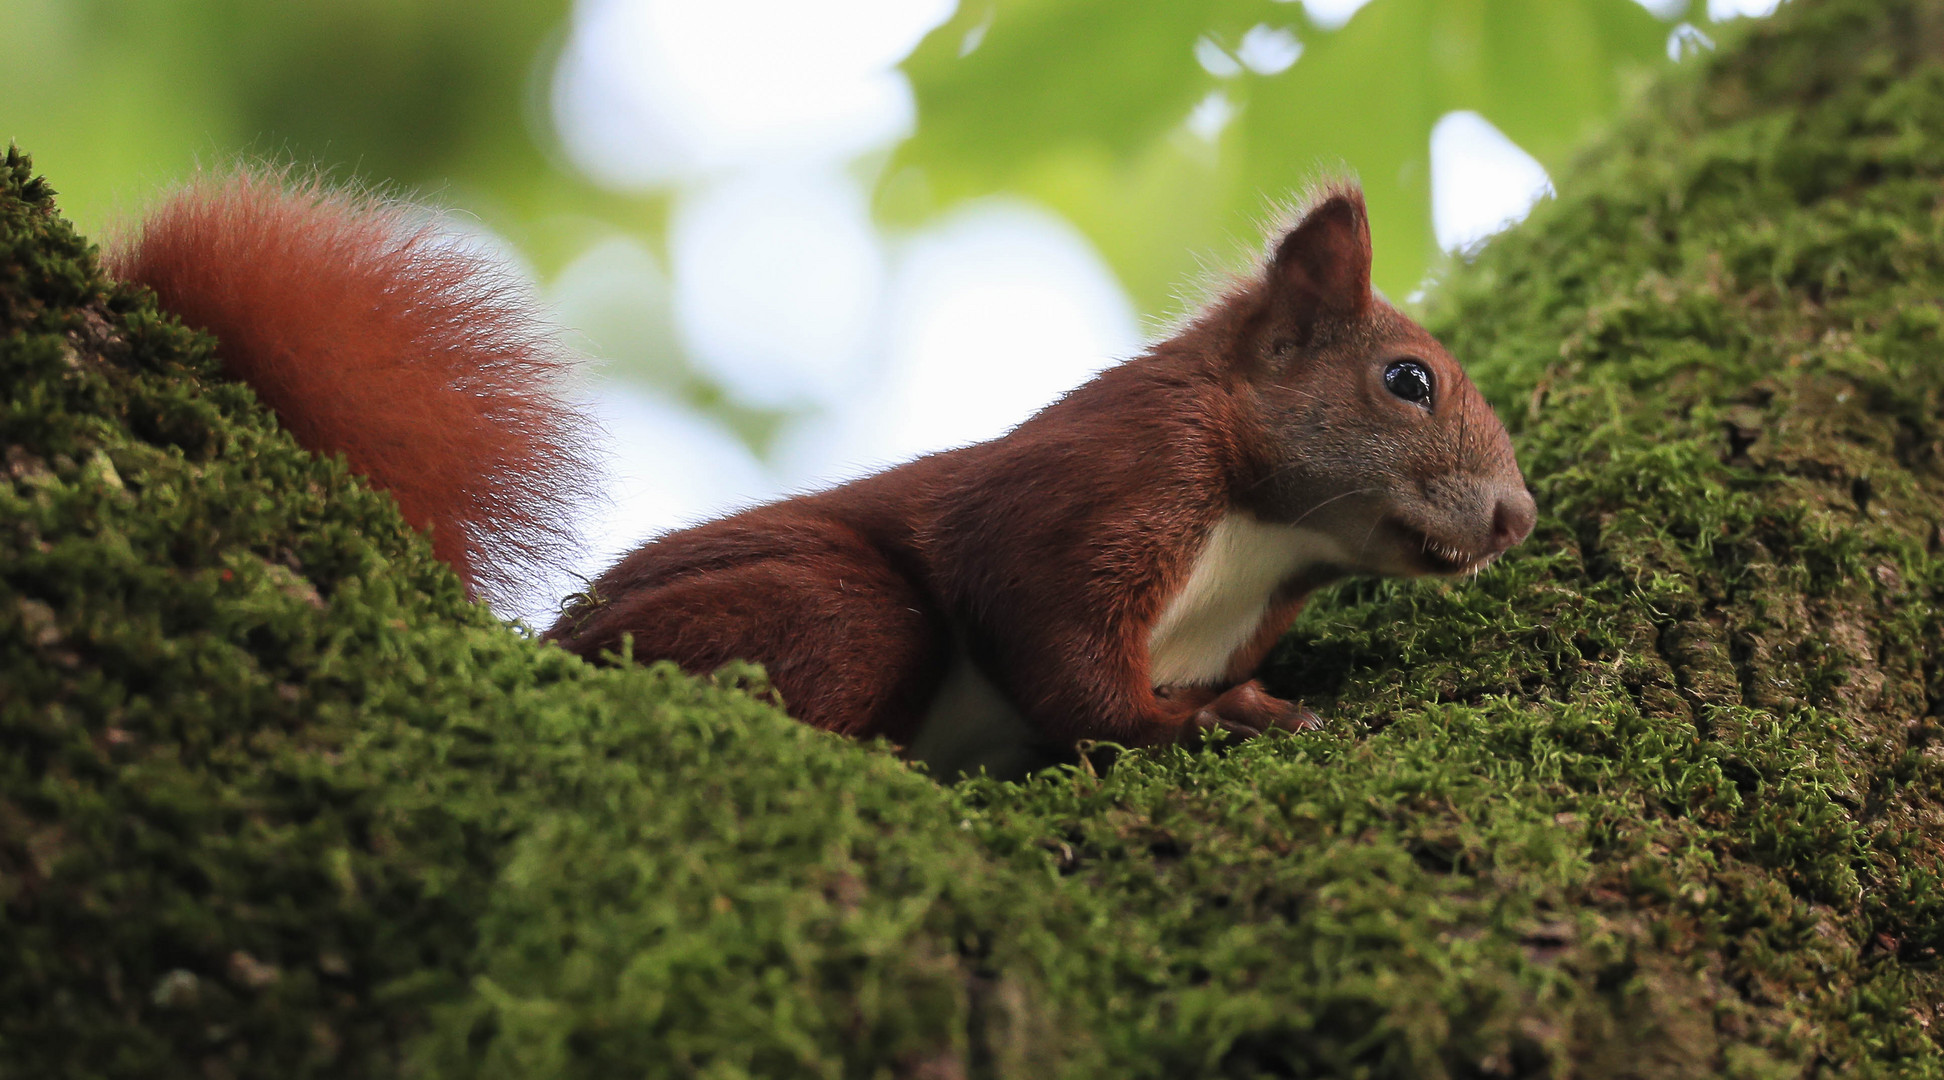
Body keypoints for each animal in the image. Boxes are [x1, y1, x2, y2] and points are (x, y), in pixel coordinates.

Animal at [113, 172, 1531, 773]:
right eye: (1408, 381)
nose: (1519, 516)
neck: (1260, 533)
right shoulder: (1102, 488)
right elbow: (1056, 651)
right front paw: (1206, 724)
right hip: (824, 610)